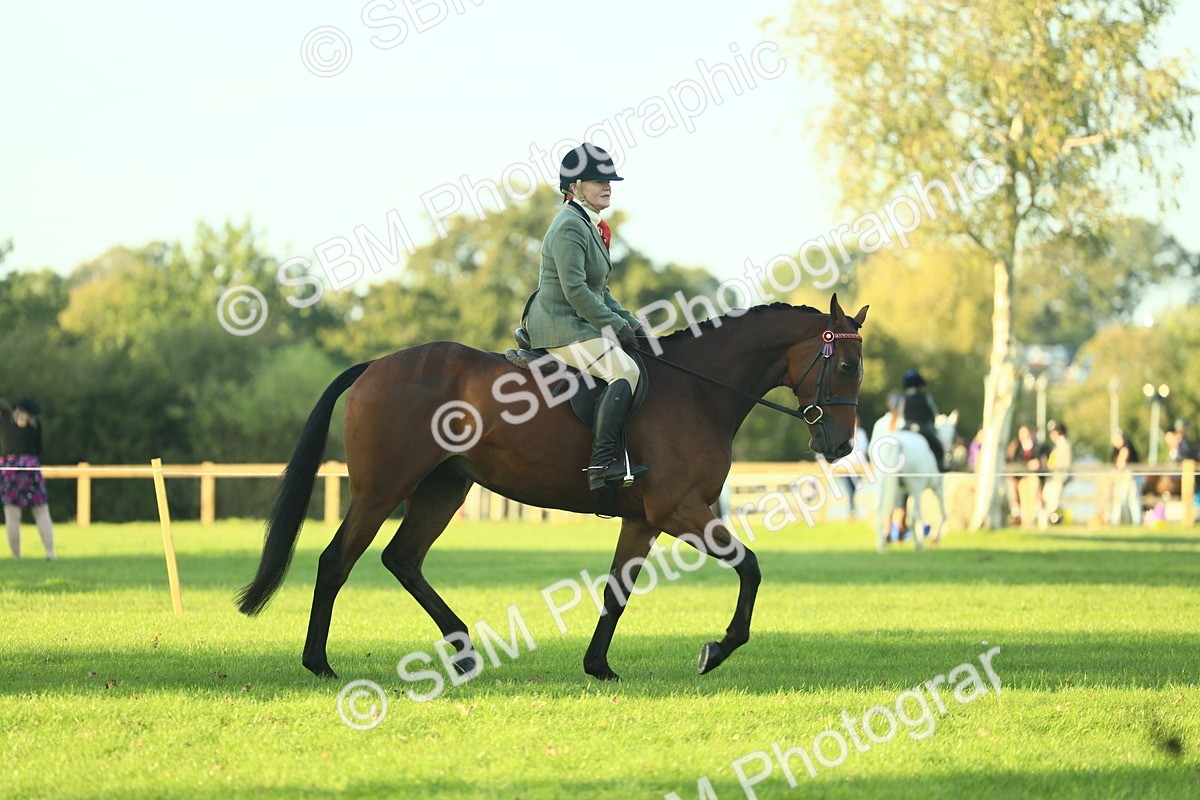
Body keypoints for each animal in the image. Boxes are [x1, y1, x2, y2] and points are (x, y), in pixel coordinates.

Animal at [236, 295, 868, 682]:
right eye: (845, 367)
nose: (839, 446)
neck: (699, 392)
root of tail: (375, 366)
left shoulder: (644, 519)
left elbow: (617, 590)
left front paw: (598, 666)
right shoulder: (678, 511)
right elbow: (751, 567)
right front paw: (715, 650)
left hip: (443, 490)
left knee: (403, 558)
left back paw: (463, 651)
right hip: (380, 490)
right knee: (336, 561)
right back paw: (319, 663)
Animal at [873, 411, 958, 552]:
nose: (949, 459)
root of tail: (899, 443)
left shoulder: (904, 491)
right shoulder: (937, 488)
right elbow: (943, 515)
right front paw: (934, 539)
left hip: (885, 487)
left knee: (881, 511)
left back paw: (882, 545)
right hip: (916, 488)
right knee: (915, 515)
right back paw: (920, 545)